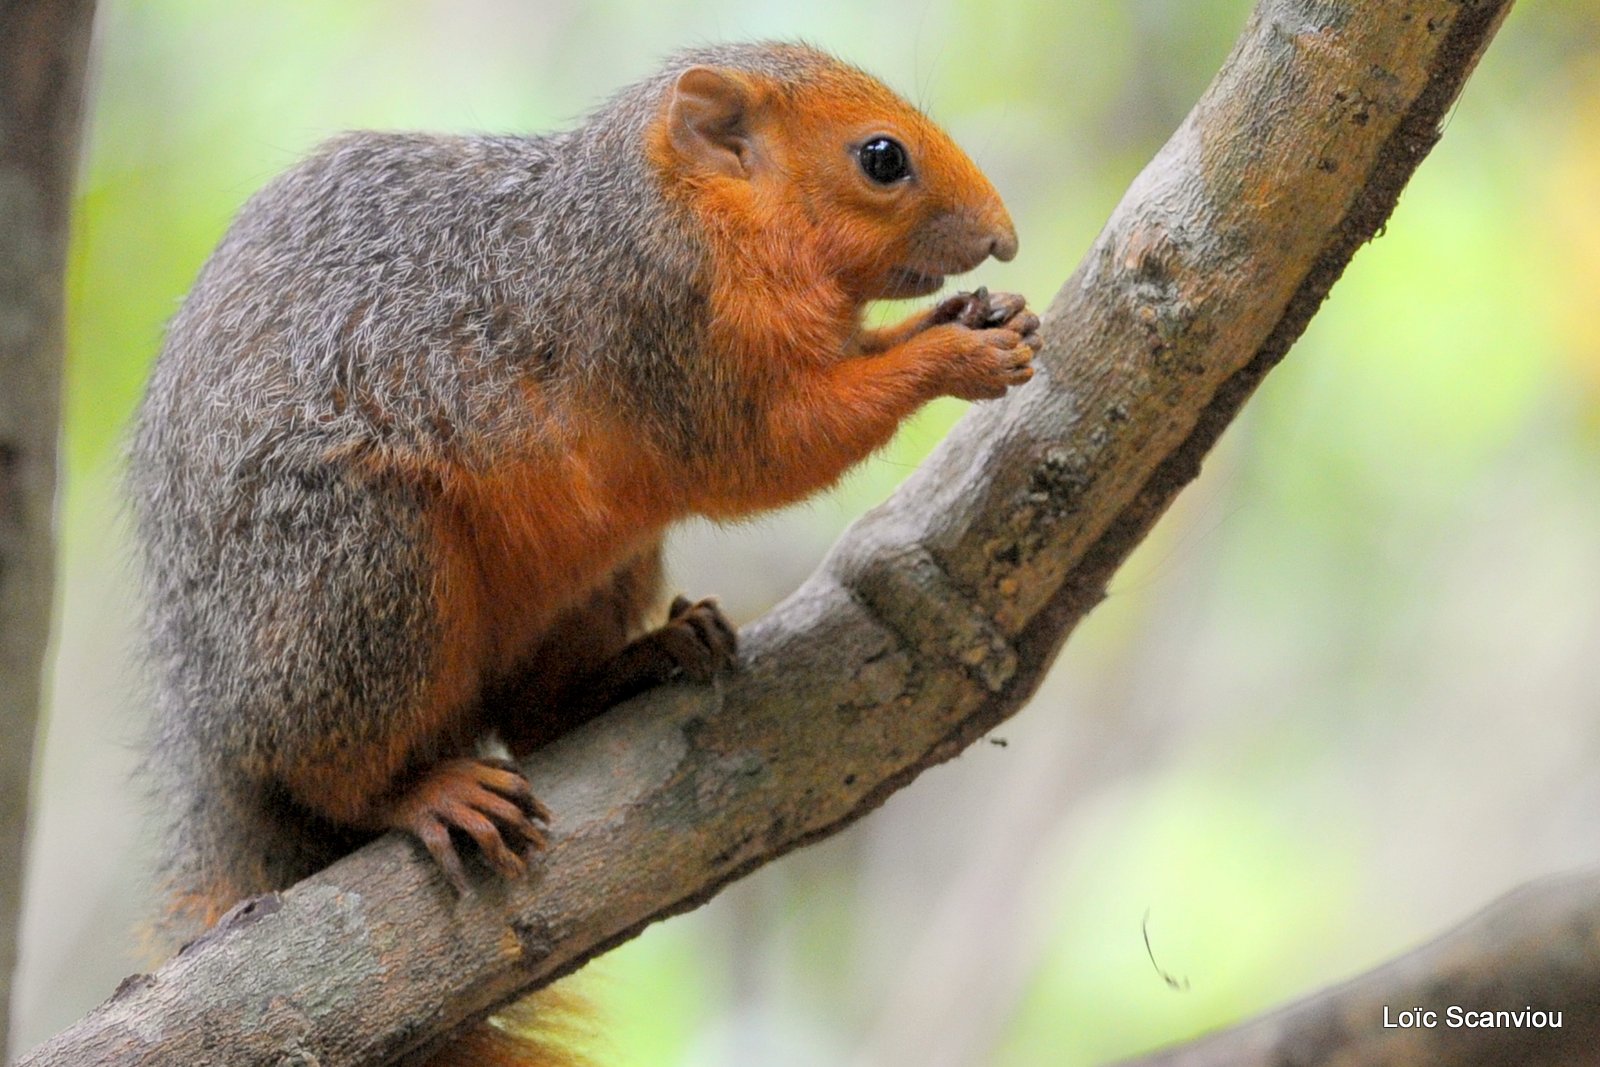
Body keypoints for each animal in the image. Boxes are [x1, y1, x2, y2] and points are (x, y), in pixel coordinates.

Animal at [131, 39, 1043, 1067]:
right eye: (882, 158)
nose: (1004, 238)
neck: (676, 208)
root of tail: (210, 729)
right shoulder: (658, 326)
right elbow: (766, 450)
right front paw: (951, 357)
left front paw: (978, 318)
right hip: (362, 571)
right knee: (328, 771)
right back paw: (422, 791)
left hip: (598, 569)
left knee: (534, 716)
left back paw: (647, 656)